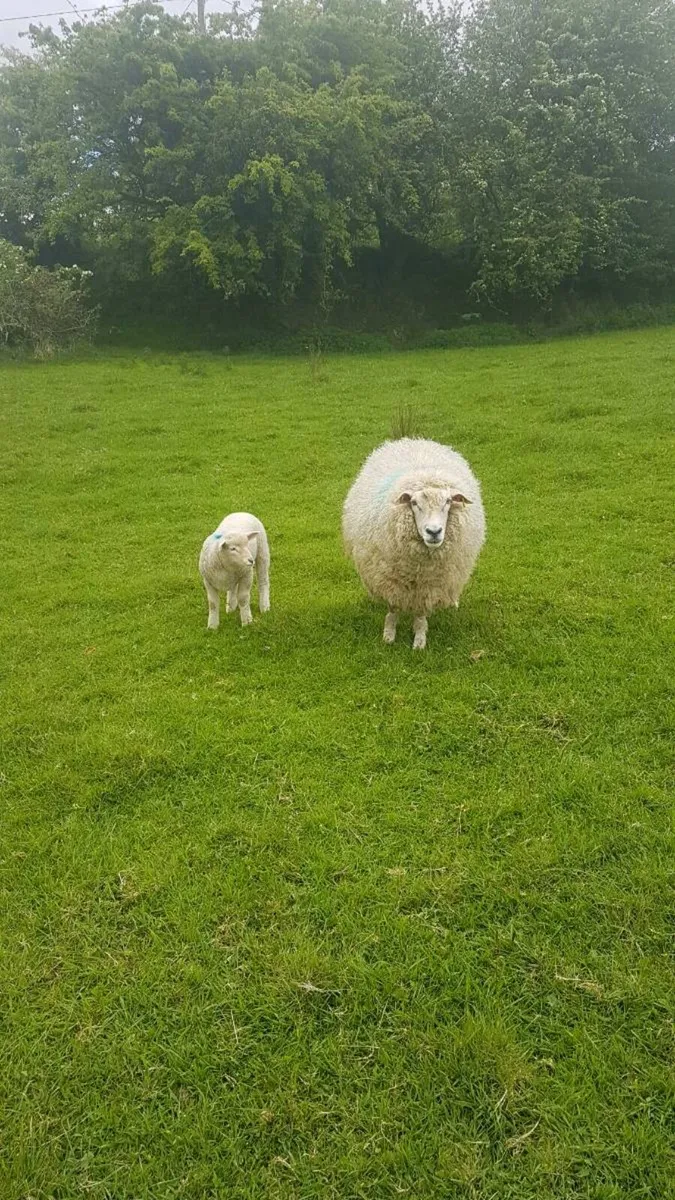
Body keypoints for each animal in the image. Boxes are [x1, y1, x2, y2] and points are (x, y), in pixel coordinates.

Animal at [342, 437, 486, 649]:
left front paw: (419, 638)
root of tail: (413, 440)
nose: (433, 532)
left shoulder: (429, 583)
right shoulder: (389, 577)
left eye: (448, 501)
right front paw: (389, 634)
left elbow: (420, 611)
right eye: (414, 503)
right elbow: (393, 606)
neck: (418, 568)